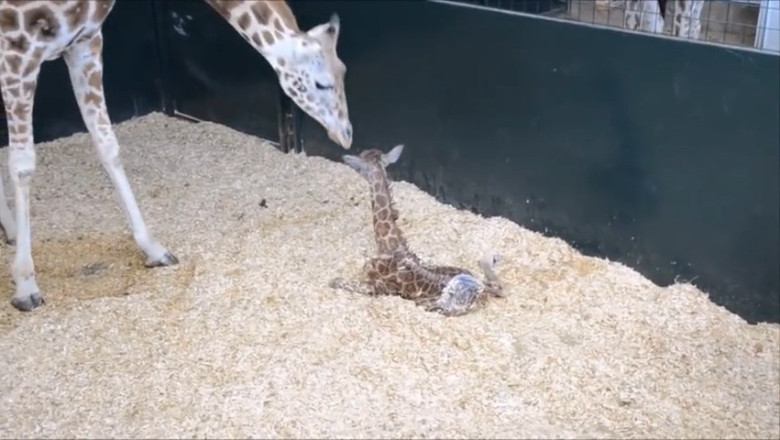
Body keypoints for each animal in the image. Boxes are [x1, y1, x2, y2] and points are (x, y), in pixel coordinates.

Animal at [0, 0, 353, 311]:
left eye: (344, 69)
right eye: (321, 83)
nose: (346, 134)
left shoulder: (86, 42)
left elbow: (107, 144)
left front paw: (153, 249)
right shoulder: (18, 51)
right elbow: (23, 164)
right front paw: (26, 285)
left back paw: (12, 230)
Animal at [328, 144, 506, 317]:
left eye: (360, 166)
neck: (387, 245)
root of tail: (483, 289)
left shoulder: (375, 287)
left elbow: (336, 281)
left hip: (444, 303)